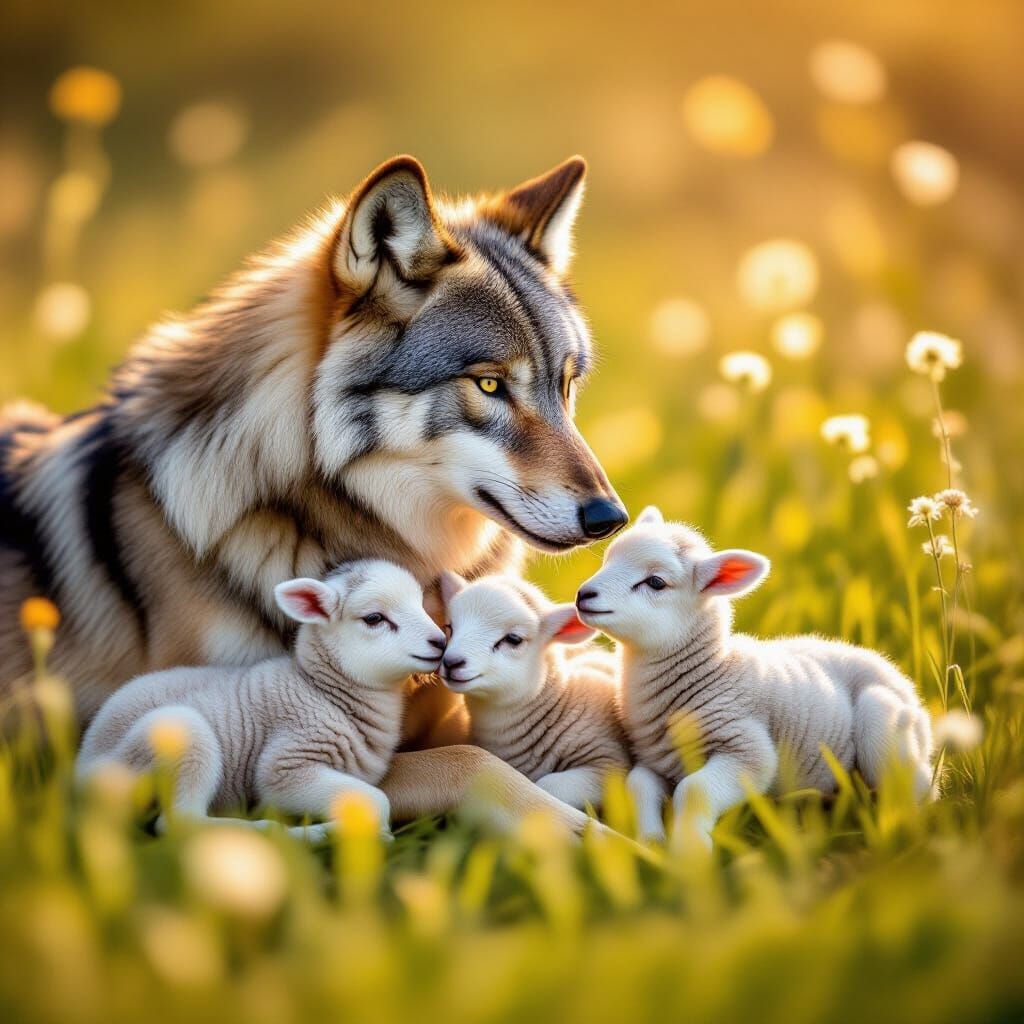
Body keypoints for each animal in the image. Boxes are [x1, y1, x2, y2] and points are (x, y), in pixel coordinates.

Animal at [76, 560, 447, 840]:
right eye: (374, 618)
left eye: (420, 604)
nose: (441, 642)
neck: (321, 690)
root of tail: (82, 767)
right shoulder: (285, 765)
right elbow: (377, 802)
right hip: (174, 737)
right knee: (178, 823)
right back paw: (289, 833)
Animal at [576, 506, 934, 845]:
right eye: (607, 560)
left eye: (655, 582)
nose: (583, 594)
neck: (709, 672)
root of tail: (901, 679)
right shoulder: (657, 758)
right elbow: (638, 786)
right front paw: (651, 843)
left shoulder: (746, 748)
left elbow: (695, 790)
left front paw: (691, 850)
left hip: (884, 726)